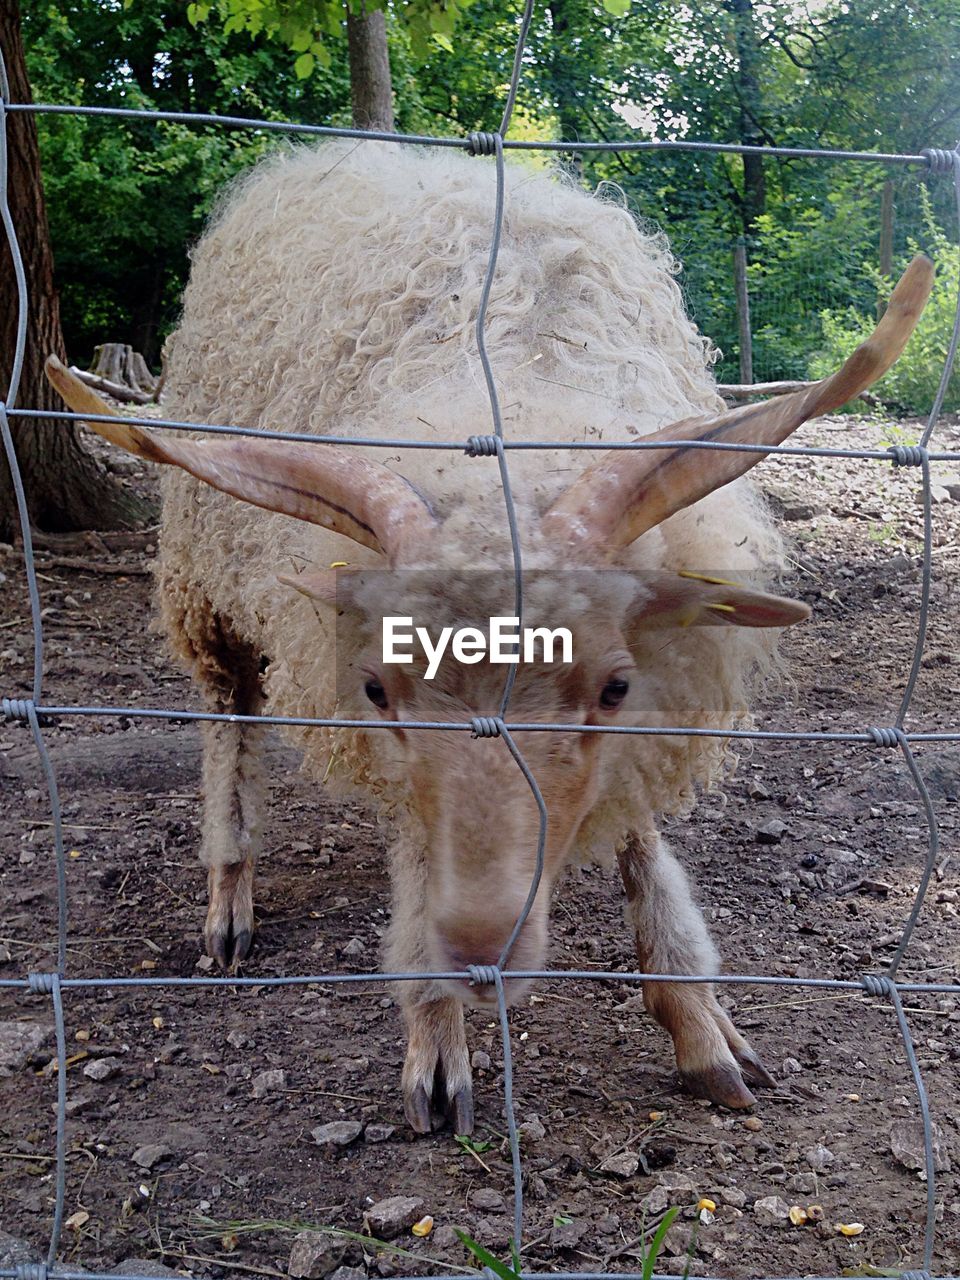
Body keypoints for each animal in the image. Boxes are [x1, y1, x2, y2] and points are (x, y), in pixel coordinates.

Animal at [48, 137, 936, 1131]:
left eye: (615, 685)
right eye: (377, 687)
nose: (482, 947)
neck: (517, 407)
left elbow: (639, 841)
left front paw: (698, 1020)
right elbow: (412, 845)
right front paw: (435, 1030)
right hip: (204, 576)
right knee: (228, 721)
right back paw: (230, 894)